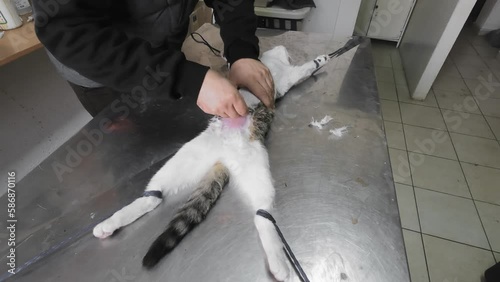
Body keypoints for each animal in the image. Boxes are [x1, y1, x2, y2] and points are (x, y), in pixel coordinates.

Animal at [93, 45, 332, 280]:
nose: (288, 52)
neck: (271, 61)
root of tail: (223, 157)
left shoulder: (282, 81)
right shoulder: (285, 77)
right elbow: (304, 69)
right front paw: (320, 60)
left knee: (259, 213)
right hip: (194, 156)